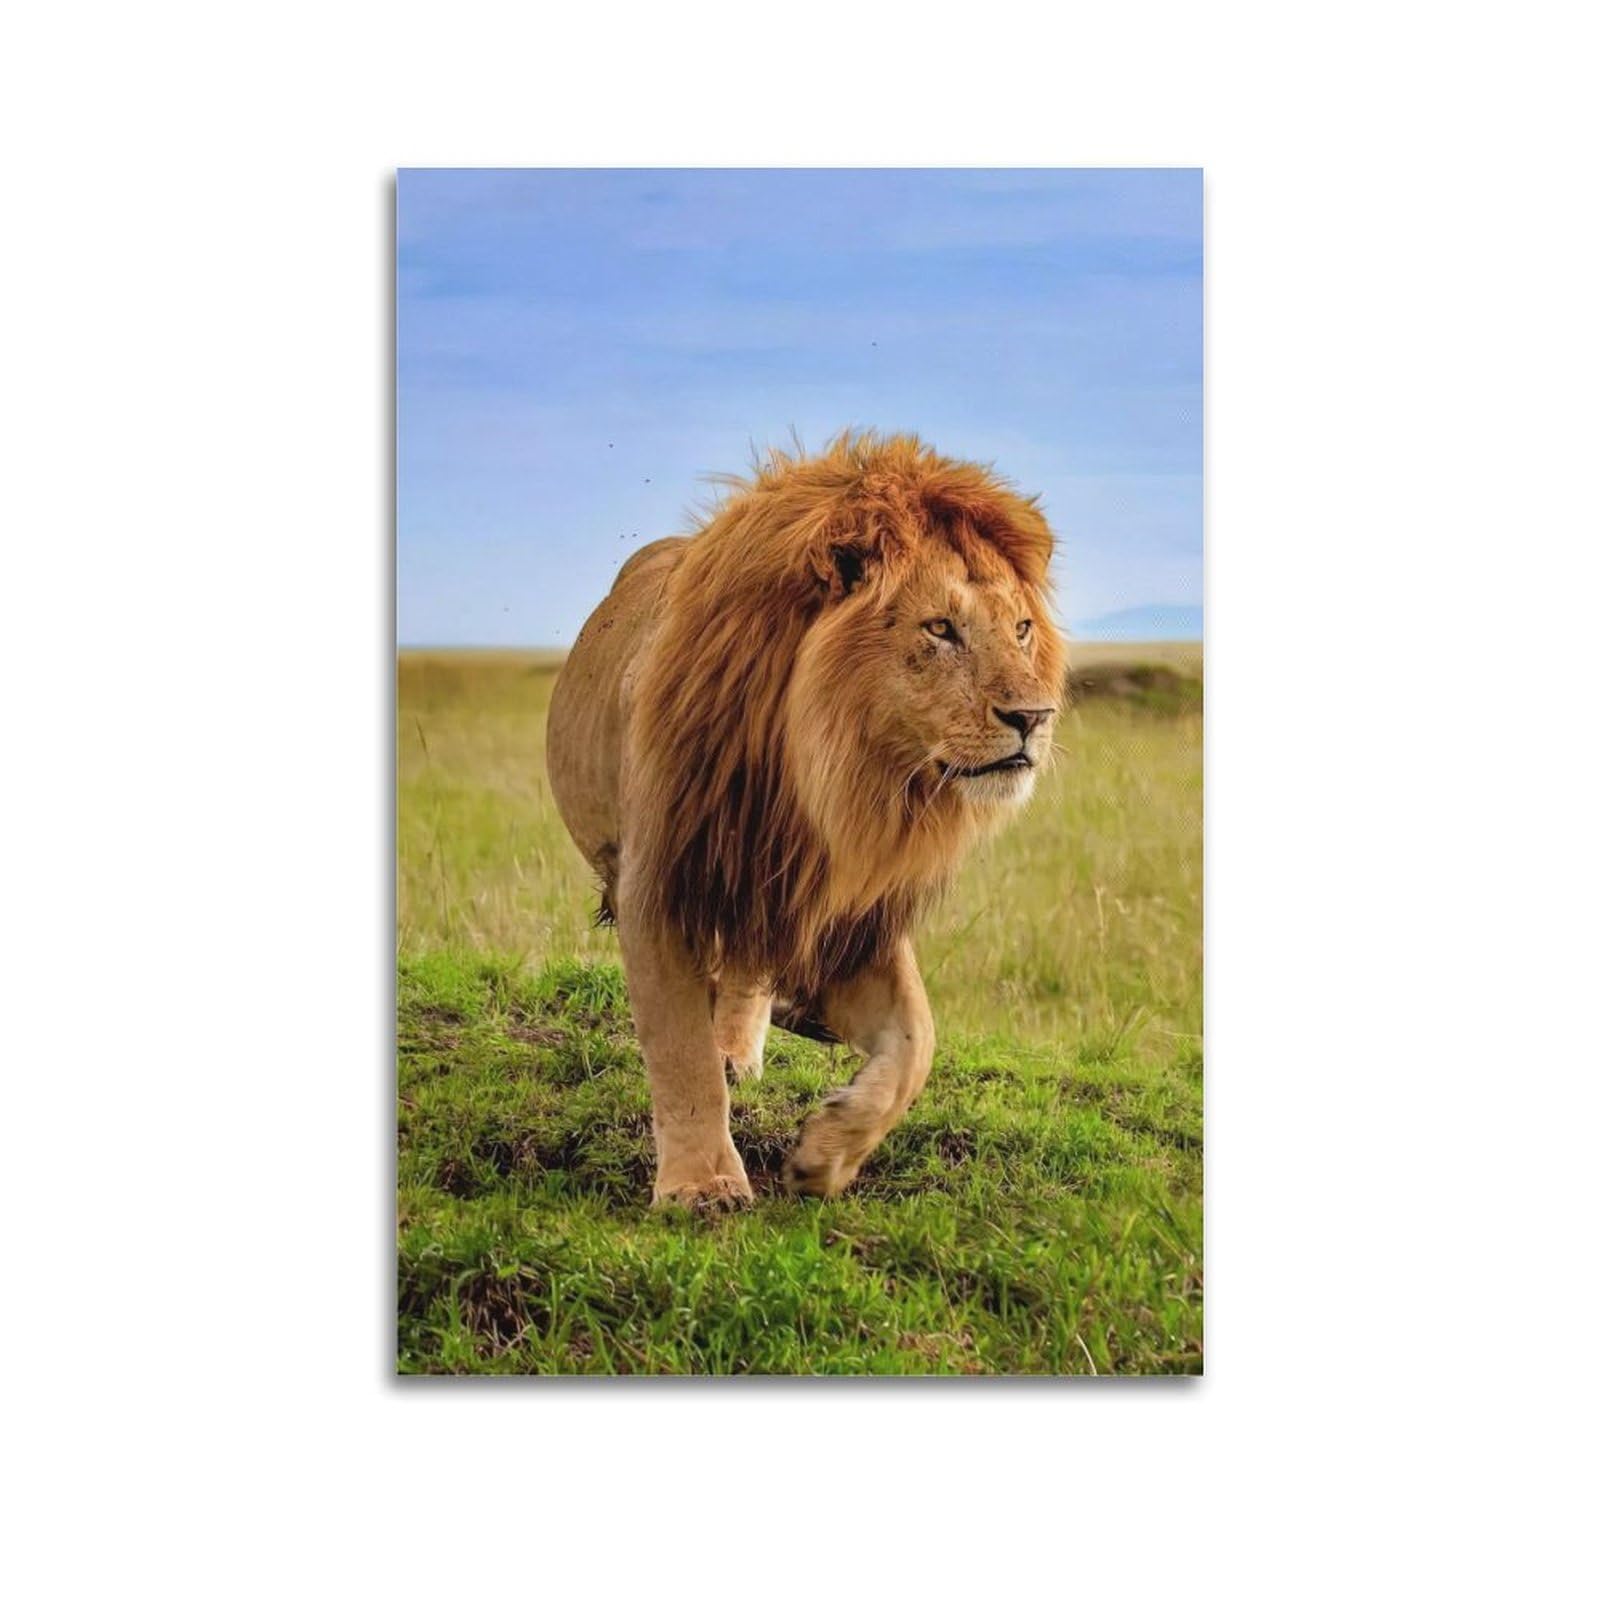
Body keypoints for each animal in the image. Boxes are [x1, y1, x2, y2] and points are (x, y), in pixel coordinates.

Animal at [546, 431, 1066, 1208]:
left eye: (1023, 629)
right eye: (941, 628)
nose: (1034, 717)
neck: (827, 782)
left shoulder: (848, 914)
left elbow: (918, 1040)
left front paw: (826, 1153)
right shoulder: (662, 883)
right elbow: (678, 1049)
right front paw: (702, 1187)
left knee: (750, 974)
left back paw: (751, 1043)